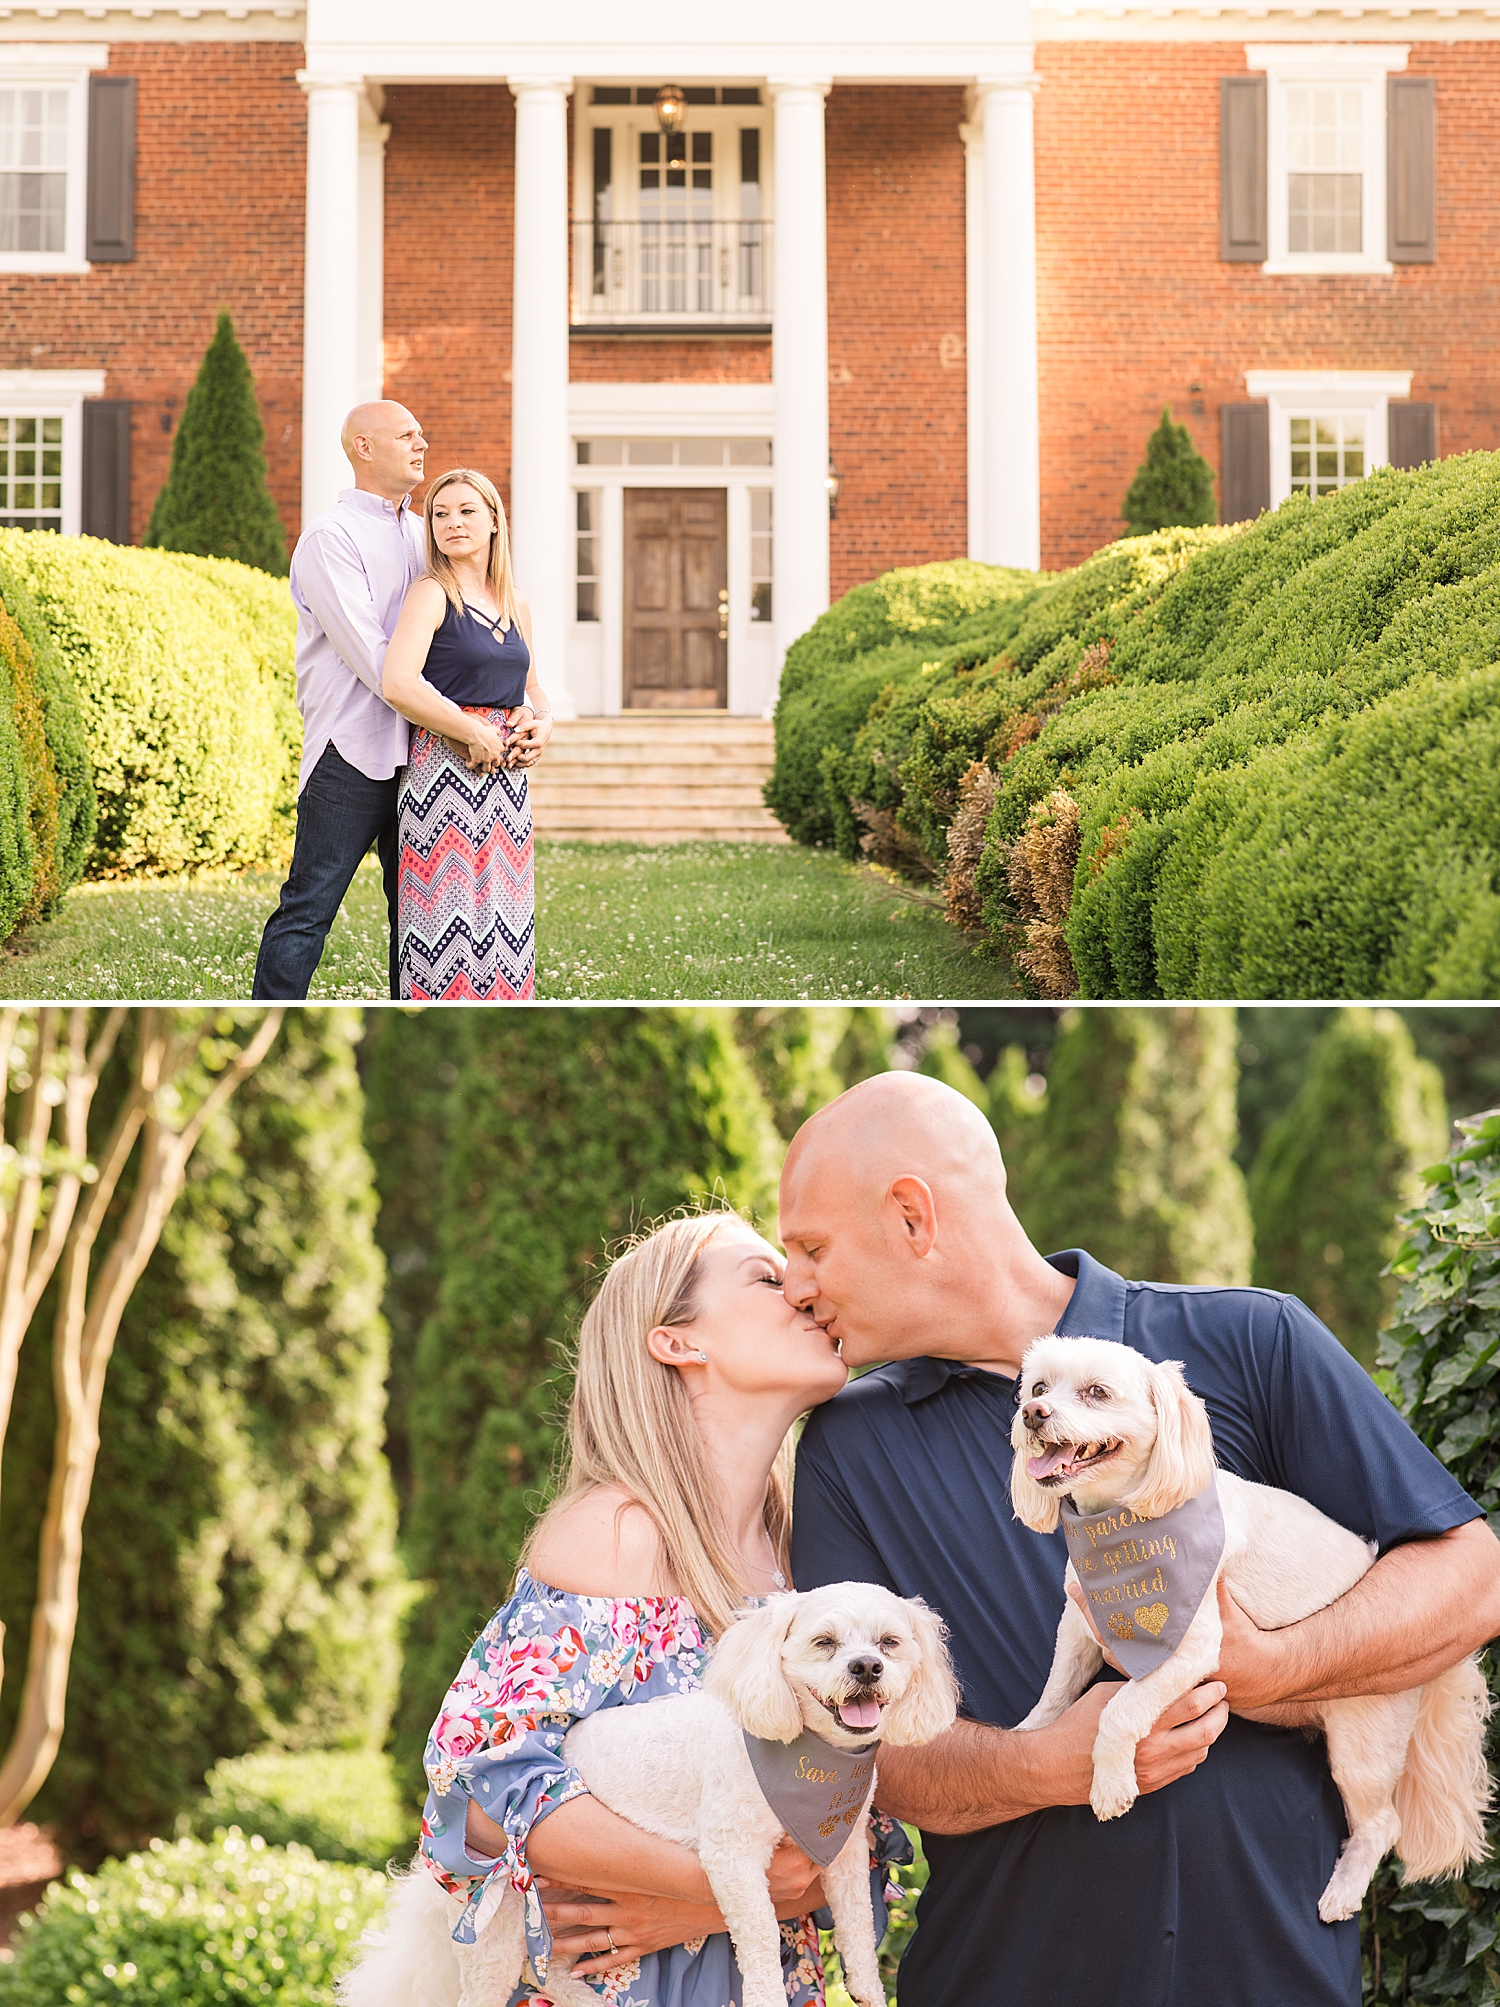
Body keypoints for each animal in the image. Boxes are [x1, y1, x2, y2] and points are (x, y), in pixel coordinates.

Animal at [335, 1581, 955, 2007]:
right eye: (825, 1642)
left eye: (889, 1643)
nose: (867, 1667)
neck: (809, 1761)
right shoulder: (733, 1858)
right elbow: (757, 1941)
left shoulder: (845, 1854)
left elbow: (857, 1928)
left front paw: (869, 1989)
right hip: (504, 1919)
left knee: (547, 1970)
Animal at [1008, 1340, 1493, 1918]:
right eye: (1038, 1389)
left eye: (1097, 1392)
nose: (1032, 1414)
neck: (1120, 1528)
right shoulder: (1078, 1628)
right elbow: (1055, 1692)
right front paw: (1028, 1739)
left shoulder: (1192, 1650)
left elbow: (1120, 1709)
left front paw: (1110, 1782)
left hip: (1362, 1746)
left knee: (1382, 1823)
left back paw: (1343, 1891)